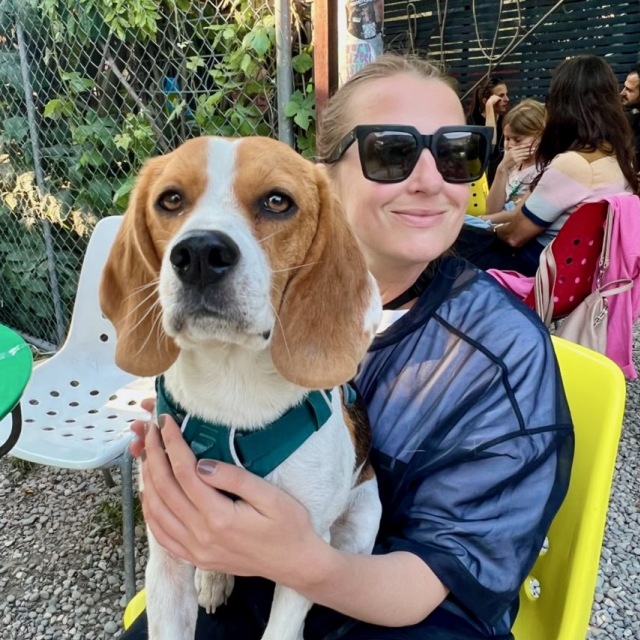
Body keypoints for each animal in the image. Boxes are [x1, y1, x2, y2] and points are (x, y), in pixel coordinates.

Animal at [99, 136, 383, 640]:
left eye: (277, 201)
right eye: (171, 199)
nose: (198, 254)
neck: (230, 382)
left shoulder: (302, 553)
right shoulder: (166, 556)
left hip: (360, 522)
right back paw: (215, 576)